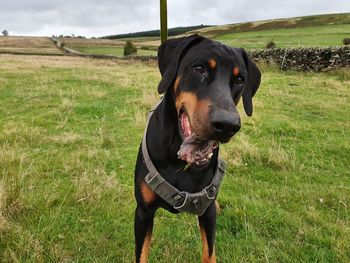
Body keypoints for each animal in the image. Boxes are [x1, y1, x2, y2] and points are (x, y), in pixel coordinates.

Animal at [134, 34, 260, 262]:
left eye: (239, 79)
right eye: (199, 68)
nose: (227, 125)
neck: (180, 161)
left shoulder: (207, 214)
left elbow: (209, 253)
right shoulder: (143, 212)